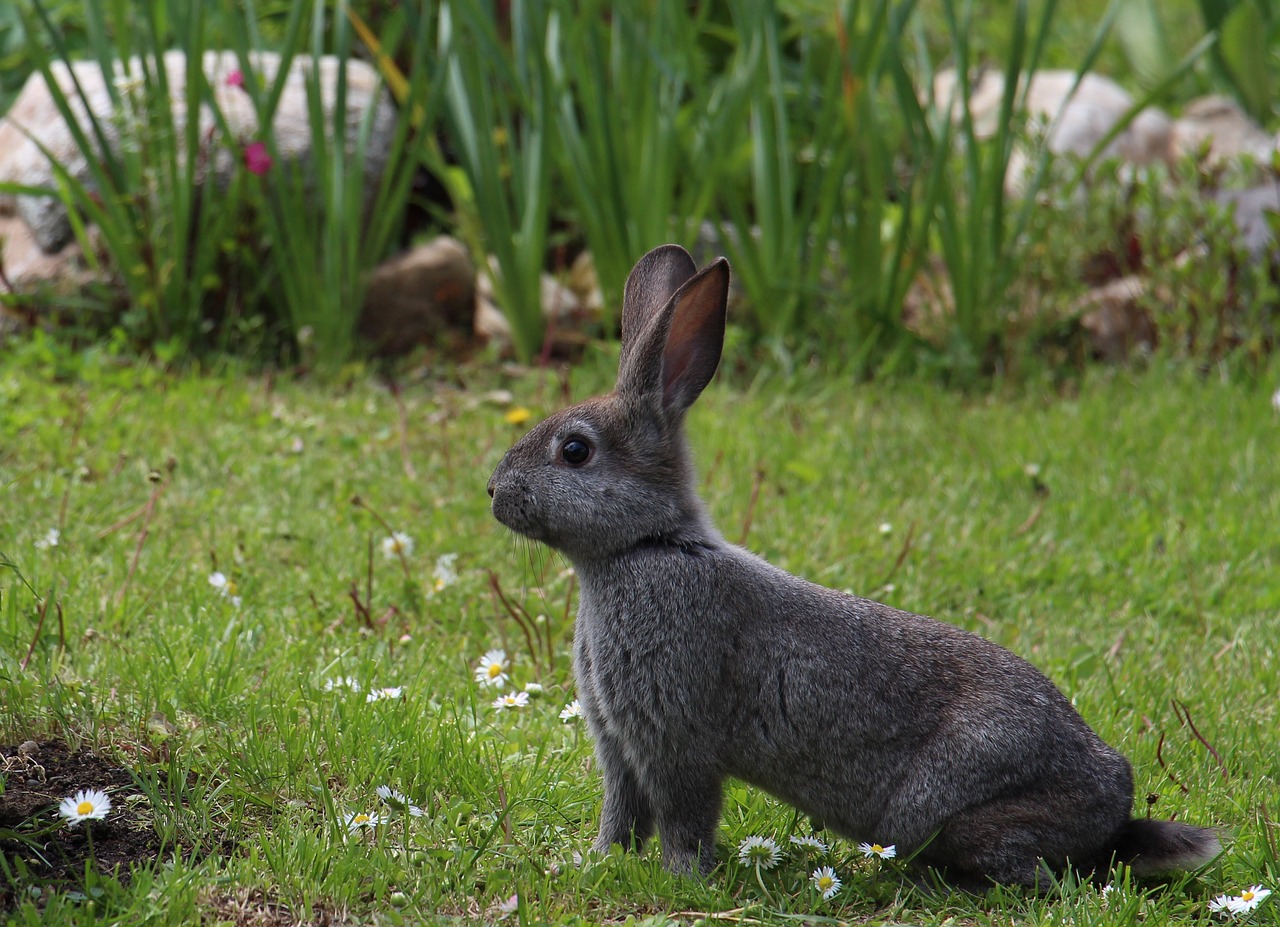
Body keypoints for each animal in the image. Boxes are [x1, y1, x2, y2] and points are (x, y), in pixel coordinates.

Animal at [486, 241, 1218, 886]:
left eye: (575, 451)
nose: (493, 491)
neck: (647, 545)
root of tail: (1113, 804)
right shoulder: (618, 744)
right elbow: (621, 813)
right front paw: (596, 863)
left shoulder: (675, 738)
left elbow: (684, 818)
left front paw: (682, 880)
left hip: (944, 808)